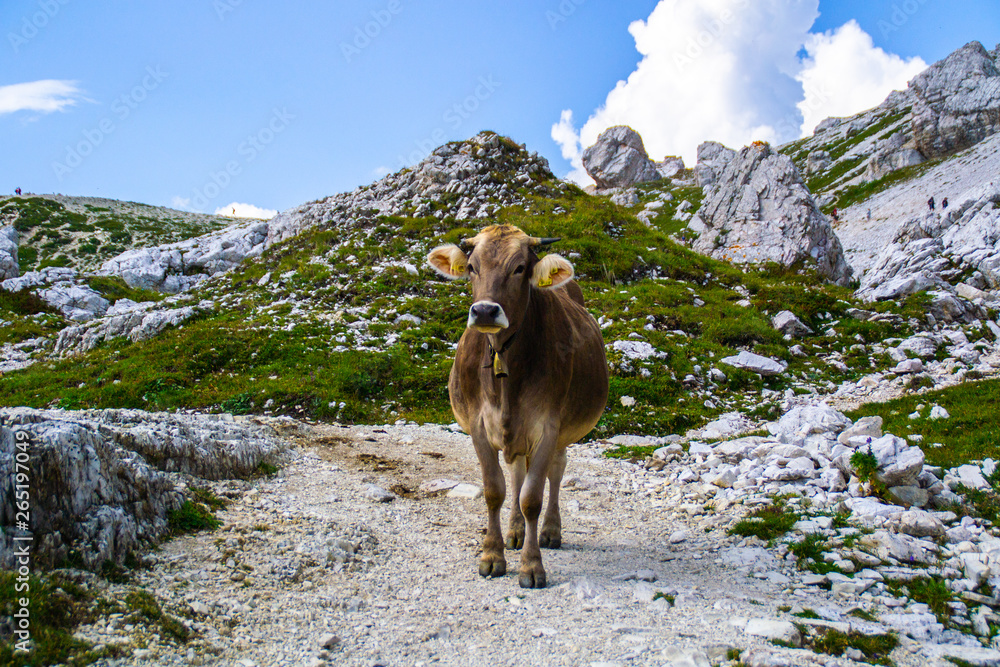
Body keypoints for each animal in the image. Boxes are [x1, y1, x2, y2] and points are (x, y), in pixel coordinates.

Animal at [426, 224, 609, 588]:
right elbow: (495, 490)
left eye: (520, 268)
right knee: (516, 474)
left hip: (563, 432)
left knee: (556, 471)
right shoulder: (478, 426)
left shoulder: (547, 427)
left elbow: (532, 497)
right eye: (472, 267)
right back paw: (514, 532)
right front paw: (492, 556)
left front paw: (531, 566)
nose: (484, 311)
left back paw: (550, 531)